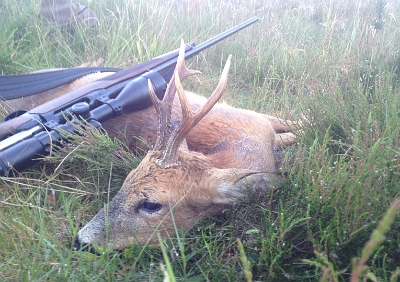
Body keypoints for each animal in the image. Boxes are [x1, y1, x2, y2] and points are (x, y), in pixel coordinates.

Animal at [2, 40, 296, 249]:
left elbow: (295, 125)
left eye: (152, 205)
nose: (80, 241)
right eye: (124, 181)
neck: (250, 145)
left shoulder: (257, 118)